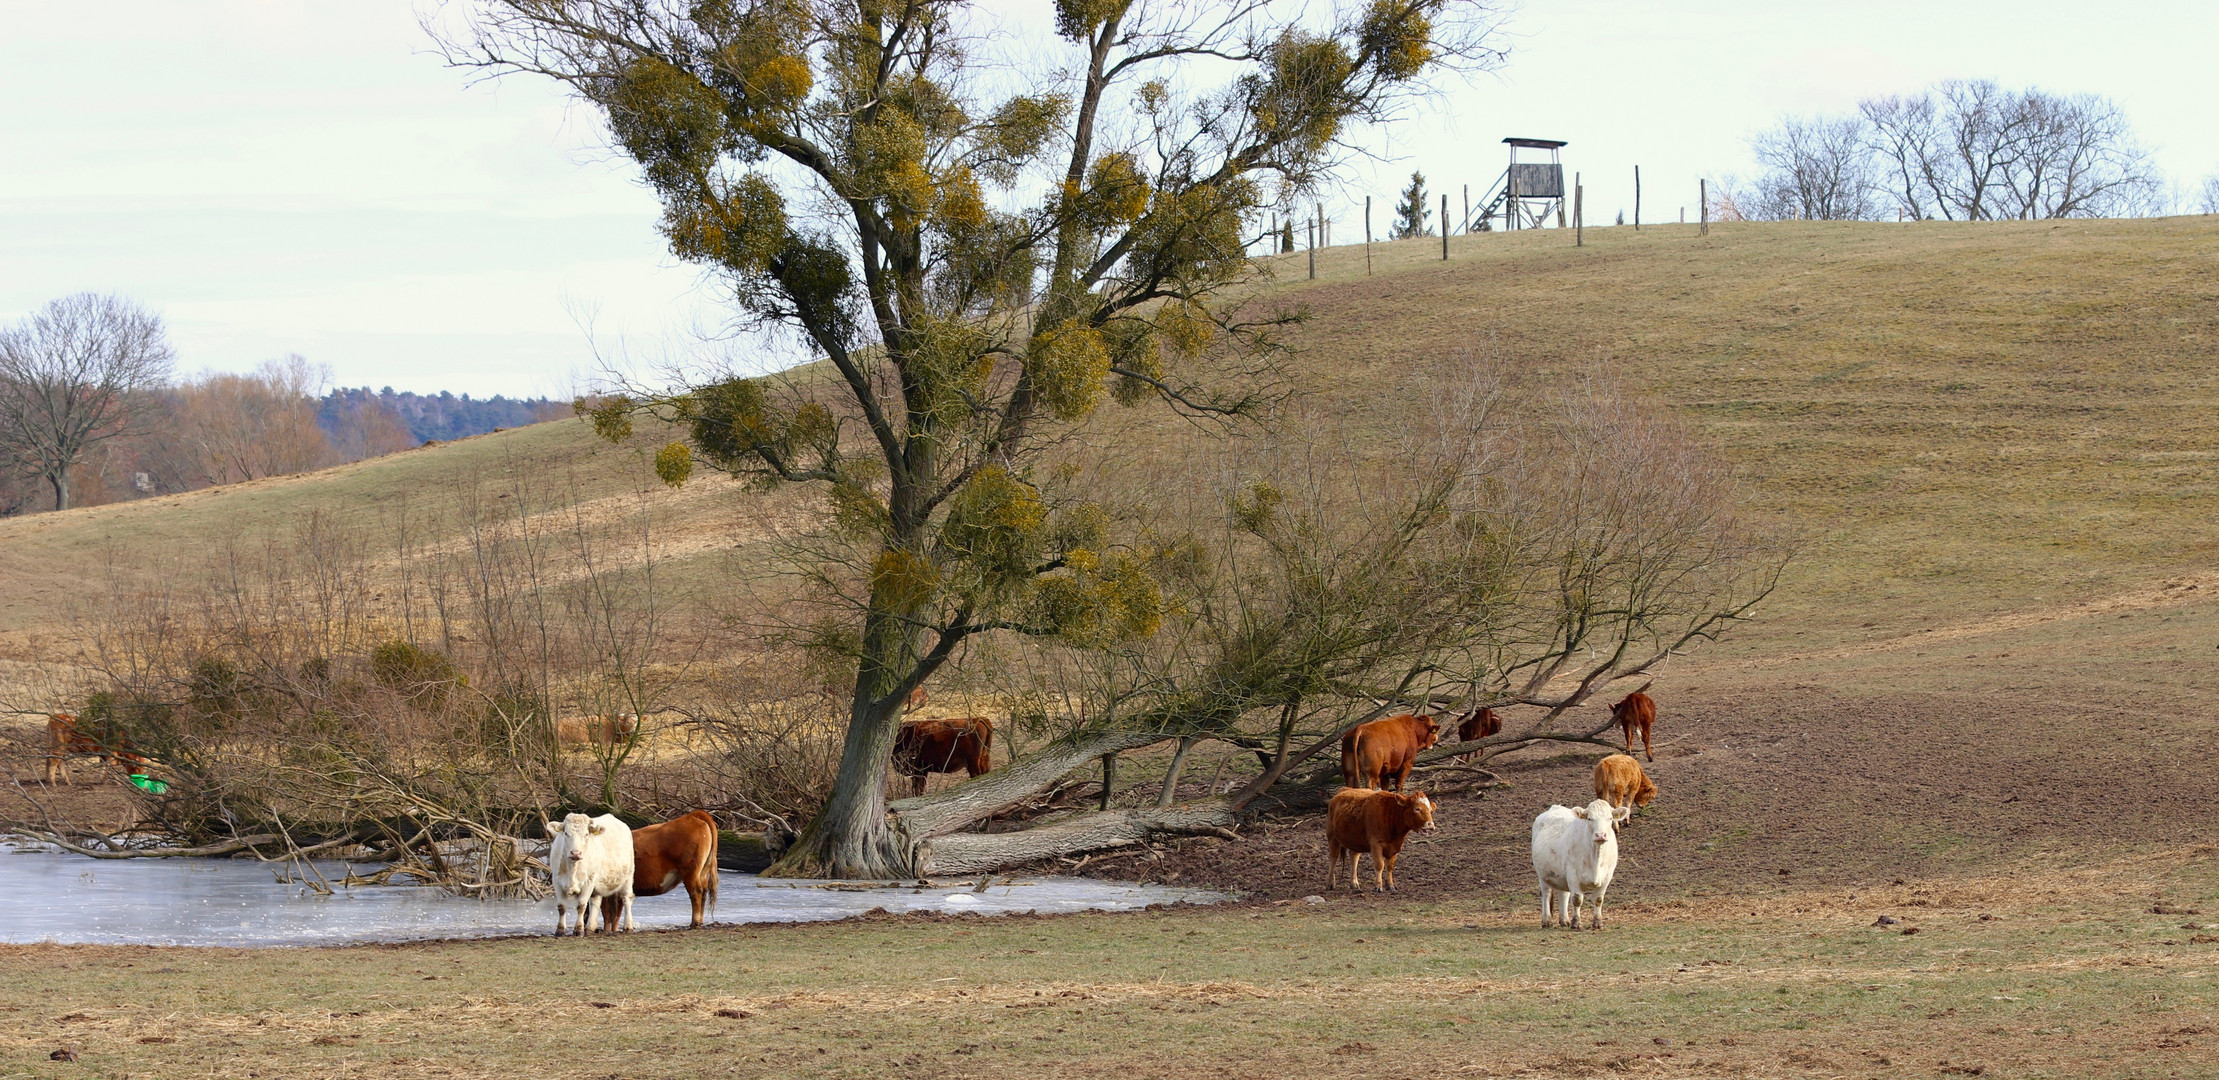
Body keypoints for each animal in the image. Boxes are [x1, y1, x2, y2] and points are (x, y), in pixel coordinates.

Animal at [543, 811, 634, 940]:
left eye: (586, 834)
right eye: (566, 833)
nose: (576, 853)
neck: (573, 869)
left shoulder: (589, 881)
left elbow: (581, 906)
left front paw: (579, 930)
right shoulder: (556, 880)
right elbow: (562, 906)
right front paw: (560, 930)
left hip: (628, 876)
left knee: (627, 898)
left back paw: (628, 926)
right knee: (596, 901)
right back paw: (590, 928)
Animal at [1535, 802, 1624, 931]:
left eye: (1610, 818)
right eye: (1589, 818)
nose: (1601, 835)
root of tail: (1555, 807)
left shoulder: (1607, 876)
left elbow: (1598, 899)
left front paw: (1598, 923)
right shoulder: (1573, 875)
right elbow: (1577, 899)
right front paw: (1576, 923)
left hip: (1561, 876)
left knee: (1563, 894)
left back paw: (1564, 920)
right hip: (1543, 874)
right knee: (1546, 894)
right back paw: (1547, 921)